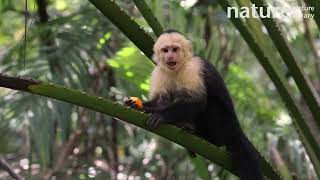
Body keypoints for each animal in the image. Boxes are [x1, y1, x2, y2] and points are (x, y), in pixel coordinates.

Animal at [125, 28, 262, 179]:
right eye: (165, 50)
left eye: (175, 49)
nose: (170, 56)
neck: (178, 68)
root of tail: (236, 129)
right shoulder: (159, 72)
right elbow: (161, 101)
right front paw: (138, 105)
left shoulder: (193, 68)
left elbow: (197, 101)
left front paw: (162, 116)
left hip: (225, 126)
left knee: (210, 105)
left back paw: (204, 137)